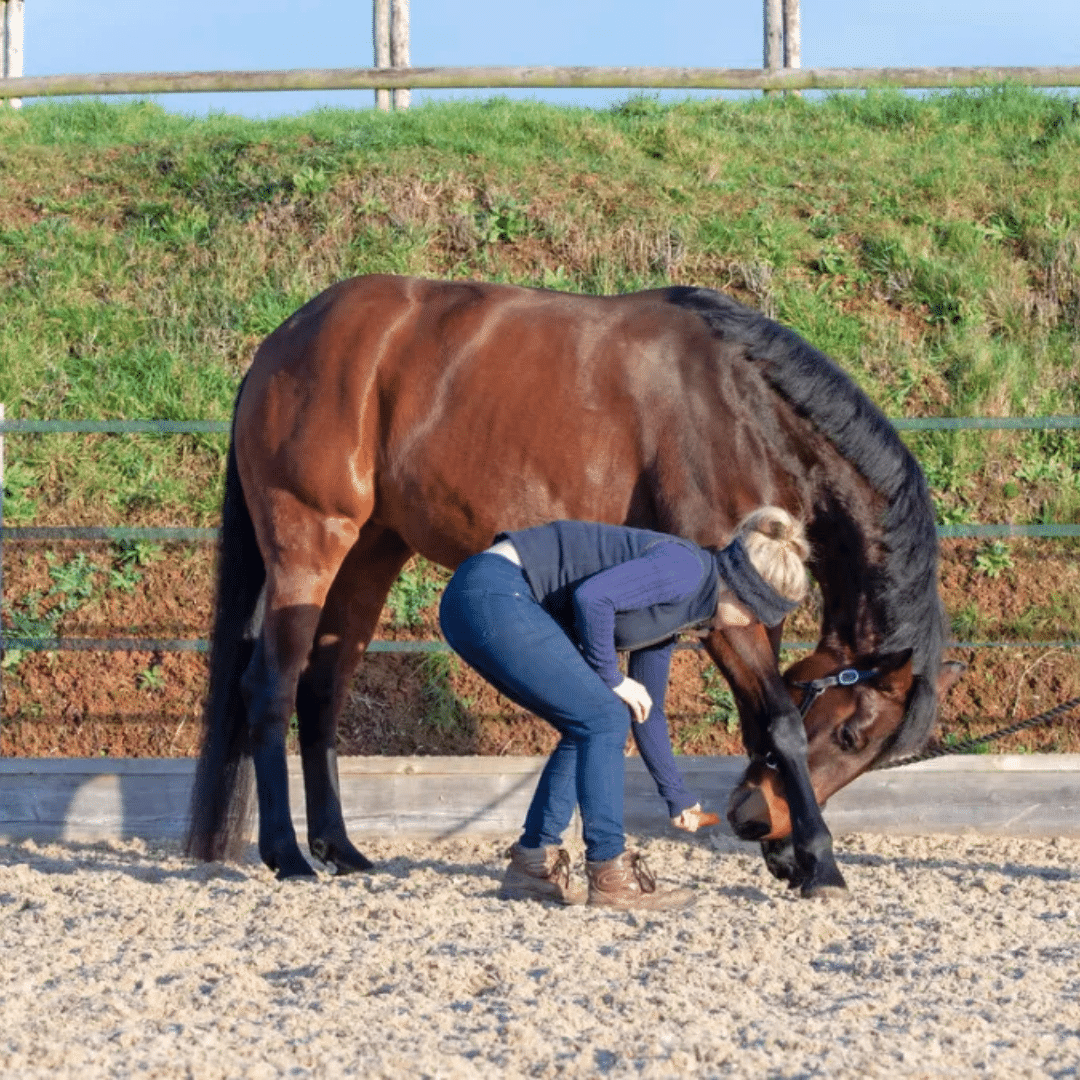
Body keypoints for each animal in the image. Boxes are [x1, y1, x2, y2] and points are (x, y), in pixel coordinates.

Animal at [185, 274, 963, 898]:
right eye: (855, 732)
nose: (753, 821)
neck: (745, 412)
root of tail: (283, 342)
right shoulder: (727, 617)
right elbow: (781, 728)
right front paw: (821, 863)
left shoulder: (745, 617)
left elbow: (758, 721)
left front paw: (792, 855)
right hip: (308, 545)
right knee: (271, 687)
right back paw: (286, 855)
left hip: (372, 554)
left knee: (321, 692)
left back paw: (339, 848)